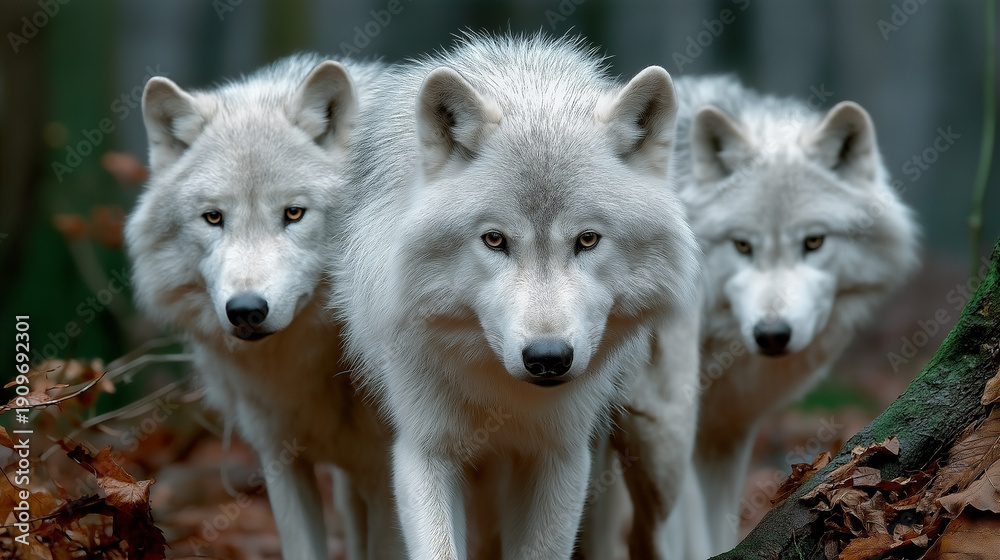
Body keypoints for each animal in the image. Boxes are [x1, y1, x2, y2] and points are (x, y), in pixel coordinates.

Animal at [332, 33, 702, 560]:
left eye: (587, 239)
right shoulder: (424, 451)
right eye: (494, 240)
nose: (548, 358)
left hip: (657, 450)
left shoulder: (561, 455)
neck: (503, 395)